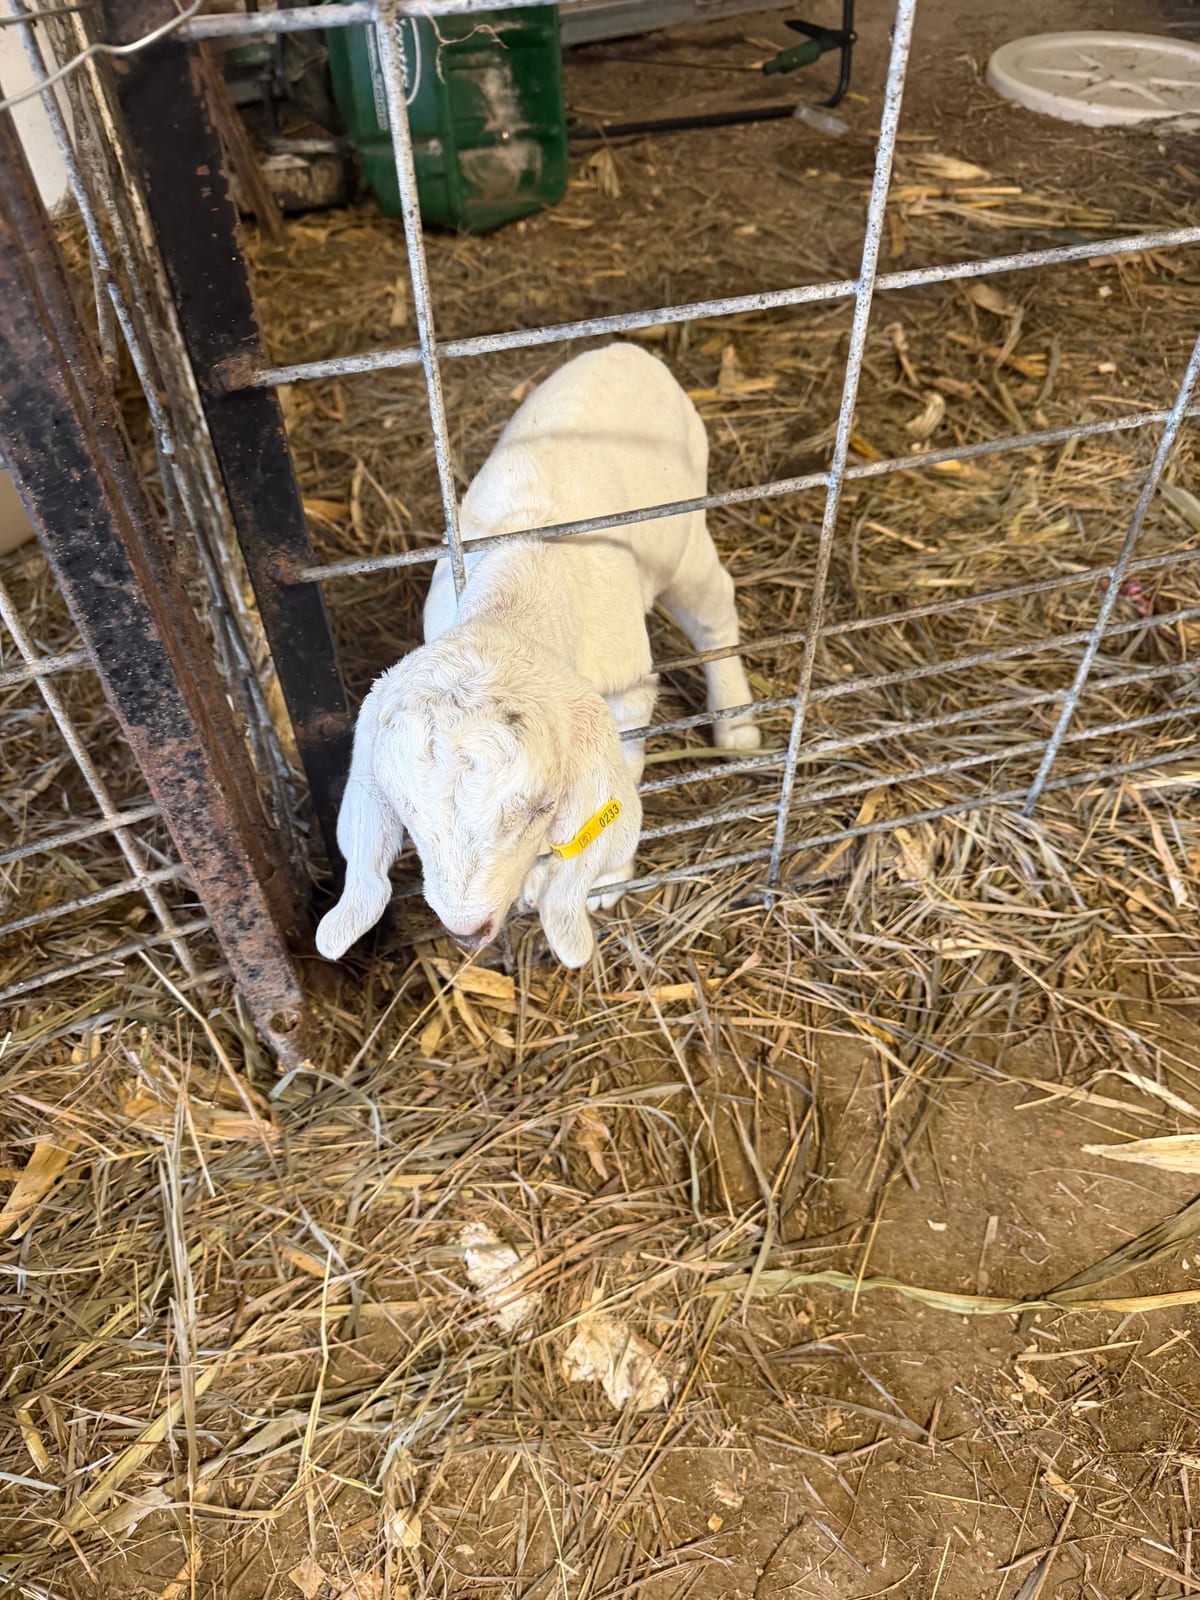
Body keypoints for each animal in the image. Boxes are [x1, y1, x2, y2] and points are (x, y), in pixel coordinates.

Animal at [316, 342, 759, 969]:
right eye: (406, 815)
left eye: (538, 809)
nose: (466, 931)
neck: (521, 585)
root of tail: (624, 348)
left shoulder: (627, 692)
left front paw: (601, 885)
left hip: (684, 534)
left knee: (714, 609)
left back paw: (737, 726)